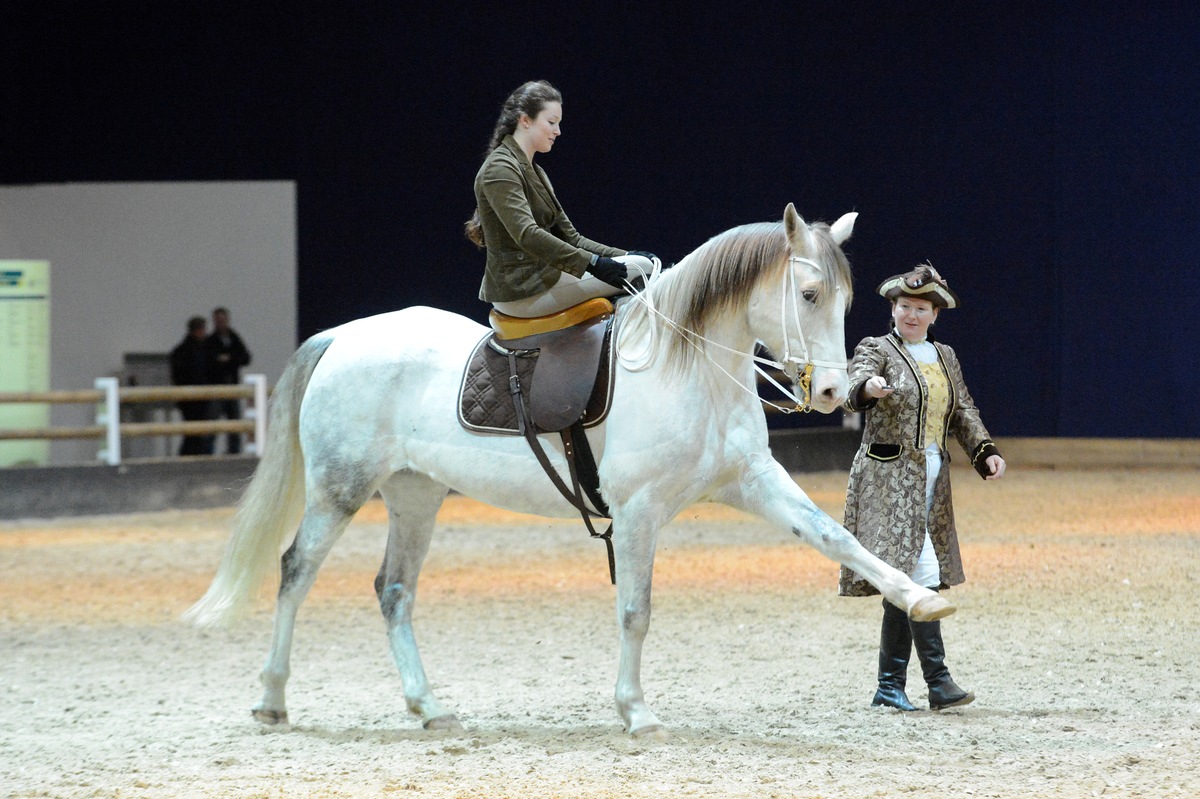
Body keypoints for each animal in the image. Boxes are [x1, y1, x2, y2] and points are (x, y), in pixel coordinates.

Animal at [184, 203, 955, 734]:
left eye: (847, 299)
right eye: (808, 295)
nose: (832, 393)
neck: (690, 367)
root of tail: (343, 336)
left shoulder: (753, 482)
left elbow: (836, 536)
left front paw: (919, 599)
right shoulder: (639, 511)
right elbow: (636, 611)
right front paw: (635, 710)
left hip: (415, 496)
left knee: (394, 591)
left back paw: (429, 706)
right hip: (339, 491)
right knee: (295, 572)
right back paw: (272, 699)